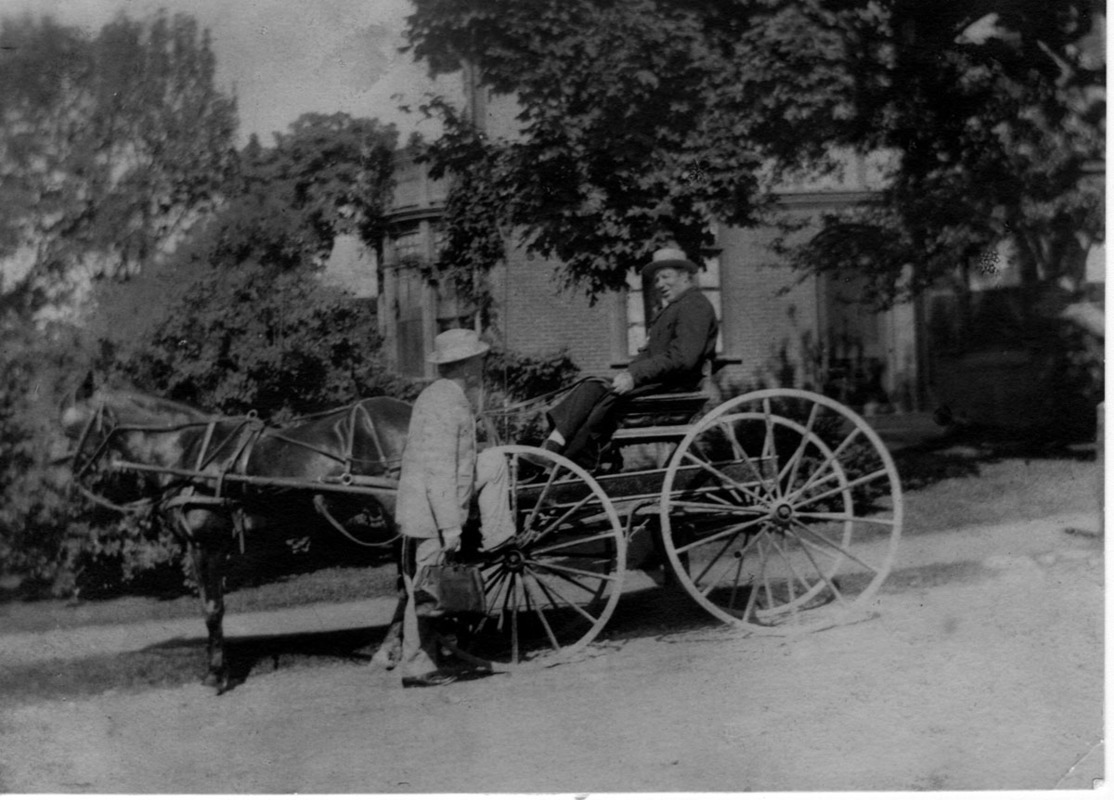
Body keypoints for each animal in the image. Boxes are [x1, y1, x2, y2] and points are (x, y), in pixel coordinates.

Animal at [59, 378, 414, 690]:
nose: (58, 478)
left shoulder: (206, 543)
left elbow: (212, 608)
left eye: (68, 426)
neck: (189, 453)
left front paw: (216, 675)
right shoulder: (200, 545)